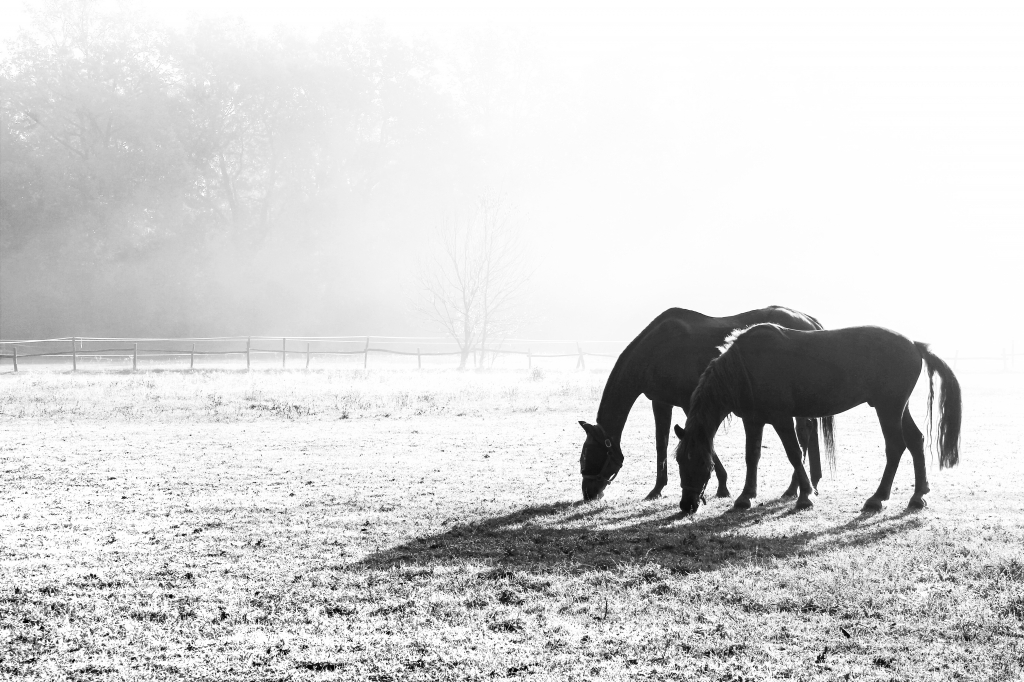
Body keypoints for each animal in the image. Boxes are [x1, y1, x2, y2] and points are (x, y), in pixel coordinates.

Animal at [578, 306, 835, 502]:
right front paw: (657, 489)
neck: (657, 350)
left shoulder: (687, 403)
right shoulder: (661, 402)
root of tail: (809, 320)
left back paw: (796, 487)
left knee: (804, 433)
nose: (588, 493)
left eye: (589, 455)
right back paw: (810, 482)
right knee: (808, 431)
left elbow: (702, 442)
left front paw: (722, 485)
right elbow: (661, 444)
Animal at [673, 324, 961, 514]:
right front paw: (746, 497)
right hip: (898, 408)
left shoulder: (781, 418)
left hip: (888, 408)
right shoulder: (753, 420)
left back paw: (878, 498)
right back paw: (918, 495)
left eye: (702, 463)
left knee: (896, 447)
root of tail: (914, 345)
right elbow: (752, 456)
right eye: (678, 461)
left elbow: (793, 453)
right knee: (915, 441)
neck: (745, 367)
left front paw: (805, 496)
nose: (687, 505)